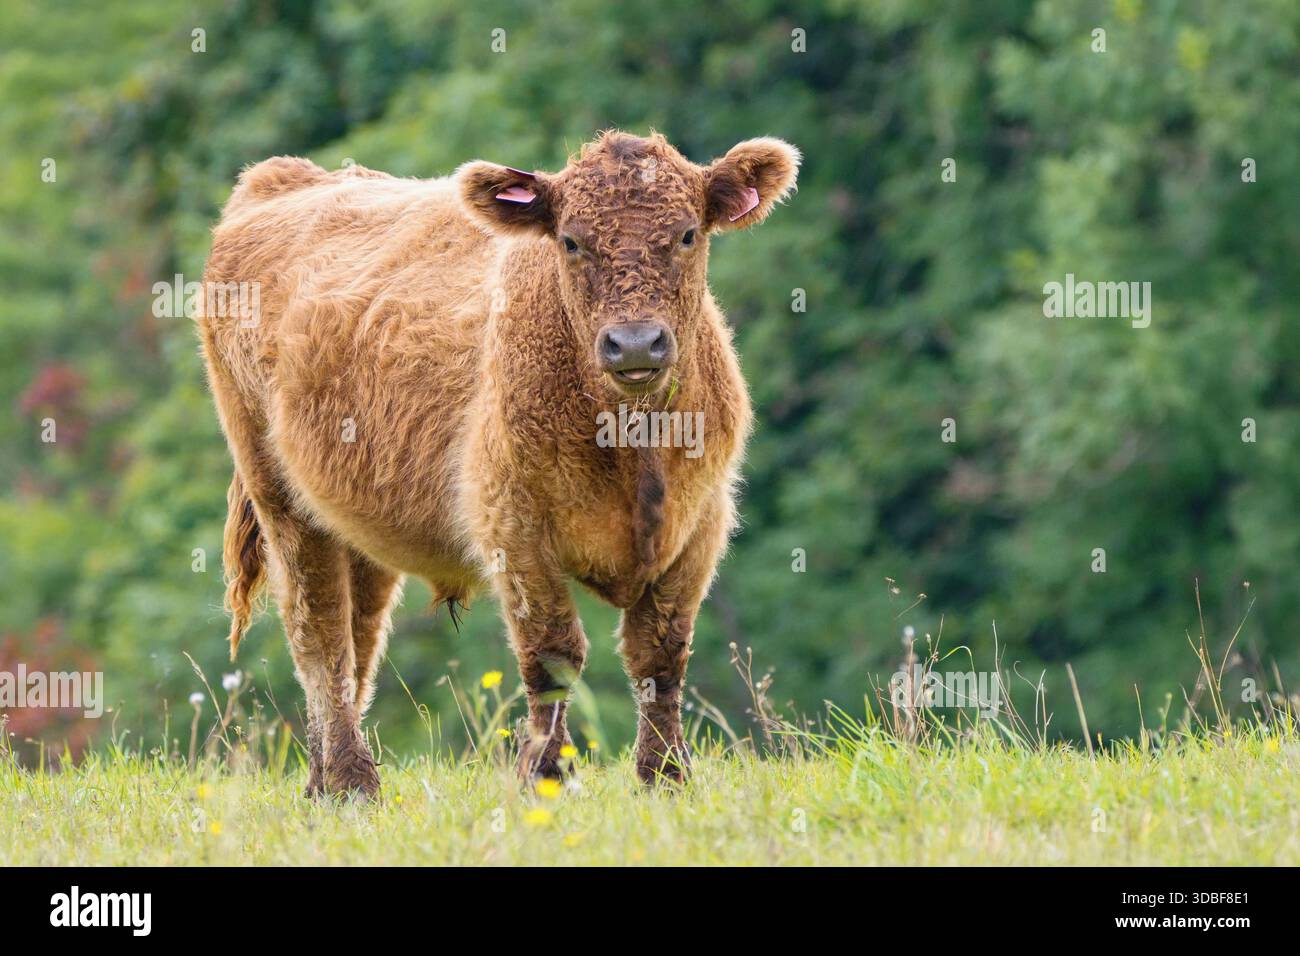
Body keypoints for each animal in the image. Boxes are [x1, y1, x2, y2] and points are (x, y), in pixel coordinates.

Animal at [197, 130, 799, 797]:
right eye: (570, 240)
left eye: (689, 233)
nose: (636, 343)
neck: (630, 445)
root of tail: (284, 178)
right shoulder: (513, 524)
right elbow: (554, 655)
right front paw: (544, 778)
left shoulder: (699, 524)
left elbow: (659, 655)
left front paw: (665, 777)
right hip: (277, 494)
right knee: (320, 637)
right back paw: (354, 784)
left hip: (354, 520)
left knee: (359, 636)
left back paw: (322, 783)